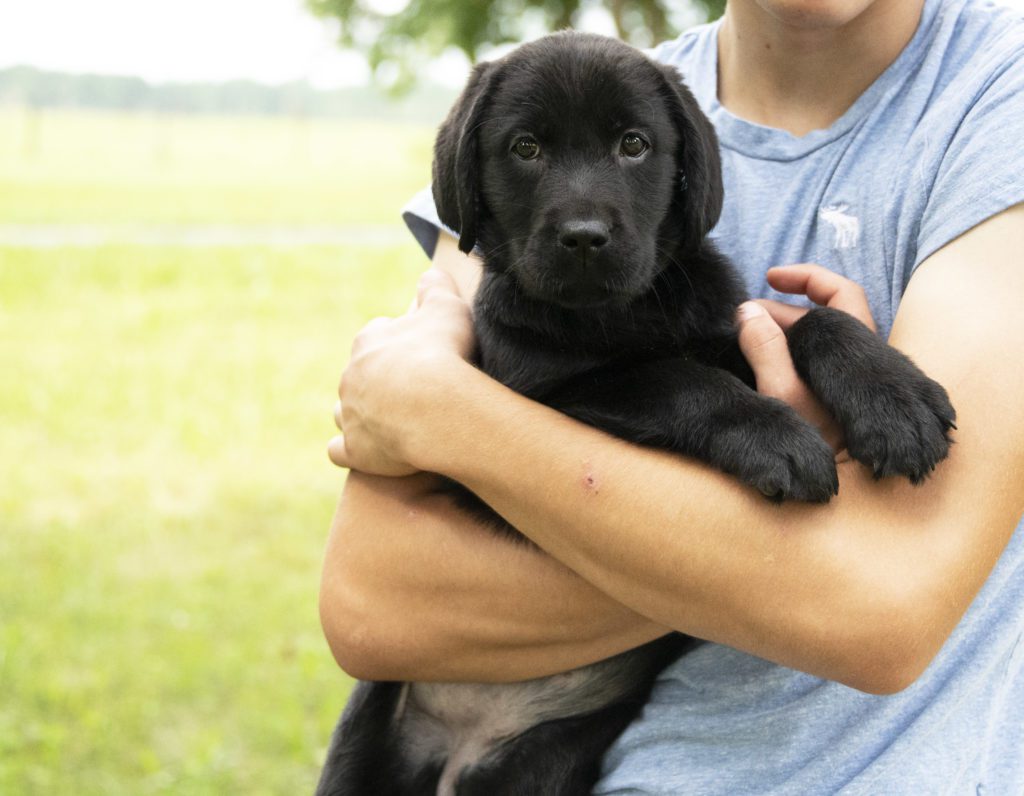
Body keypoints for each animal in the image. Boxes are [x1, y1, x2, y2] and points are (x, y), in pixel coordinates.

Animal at [315, 30, 954, 794]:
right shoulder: (546, 395)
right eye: (525, 148)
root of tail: (462, 746)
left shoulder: (728, 326)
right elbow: (675, 377)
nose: (585, 237)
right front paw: (777, 437)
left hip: (542, 763)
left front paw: (895, 400)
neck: (622, 314)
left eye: (634, 144)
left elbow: (810, 322)